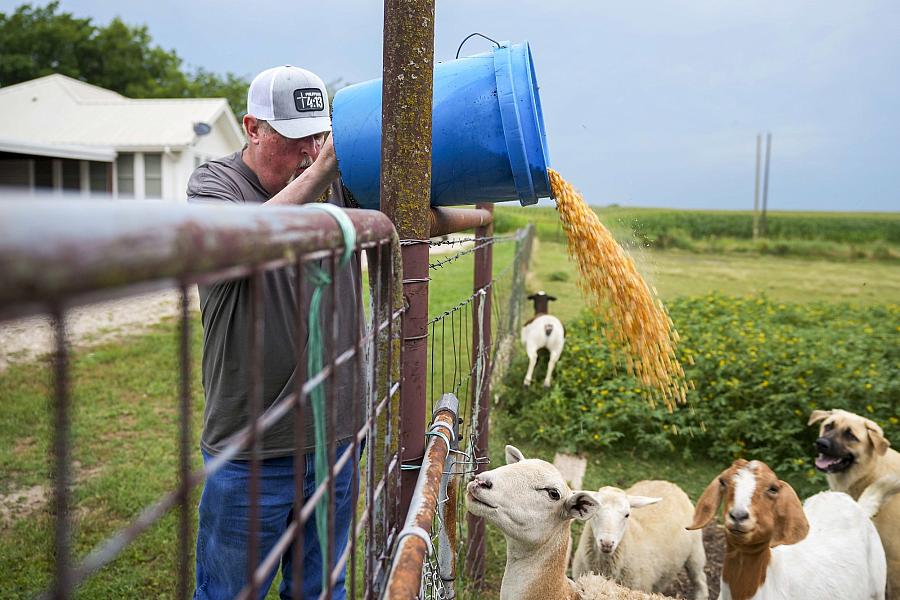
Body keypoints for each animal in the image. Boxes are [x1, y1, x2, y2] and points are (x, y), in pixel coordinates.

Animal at [572, 482, 708, 600]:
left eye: (627, 515)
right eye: (594, 512)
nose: (607, 543)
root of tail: (669, 483)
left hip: (695, 552)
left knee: (700, 579)